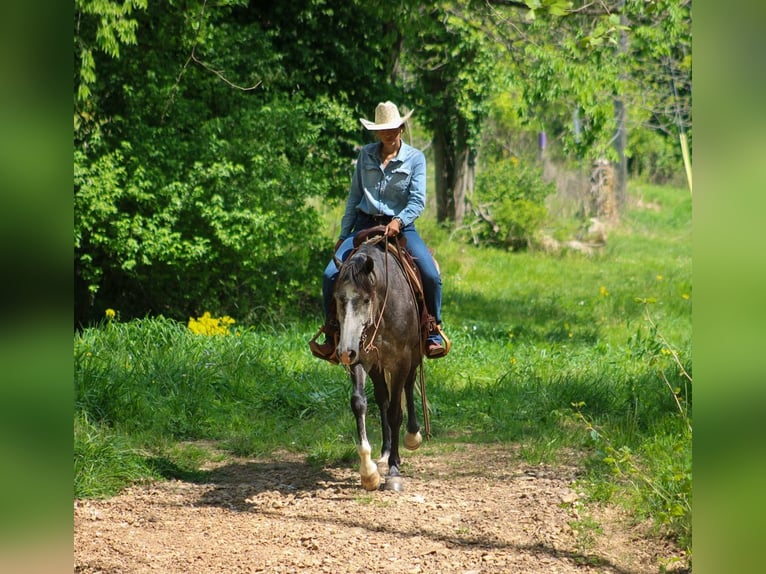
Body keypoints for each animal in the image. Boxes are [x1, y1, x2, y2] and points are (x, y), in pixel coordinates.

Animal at [334, 232, 425, 491]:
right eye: (338, 299)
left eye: (366, 299)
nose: (344, 352)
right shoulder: (361, 357)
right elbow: (359, 404)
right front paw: (369, 472)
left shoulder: (402, 361)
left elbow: (396, 412)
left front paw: (394, 471)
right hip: (376, 364)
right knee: (382, 398)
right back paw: (384, 452)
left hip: (413, 356)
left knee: (408, 386)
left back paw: (412, 436)